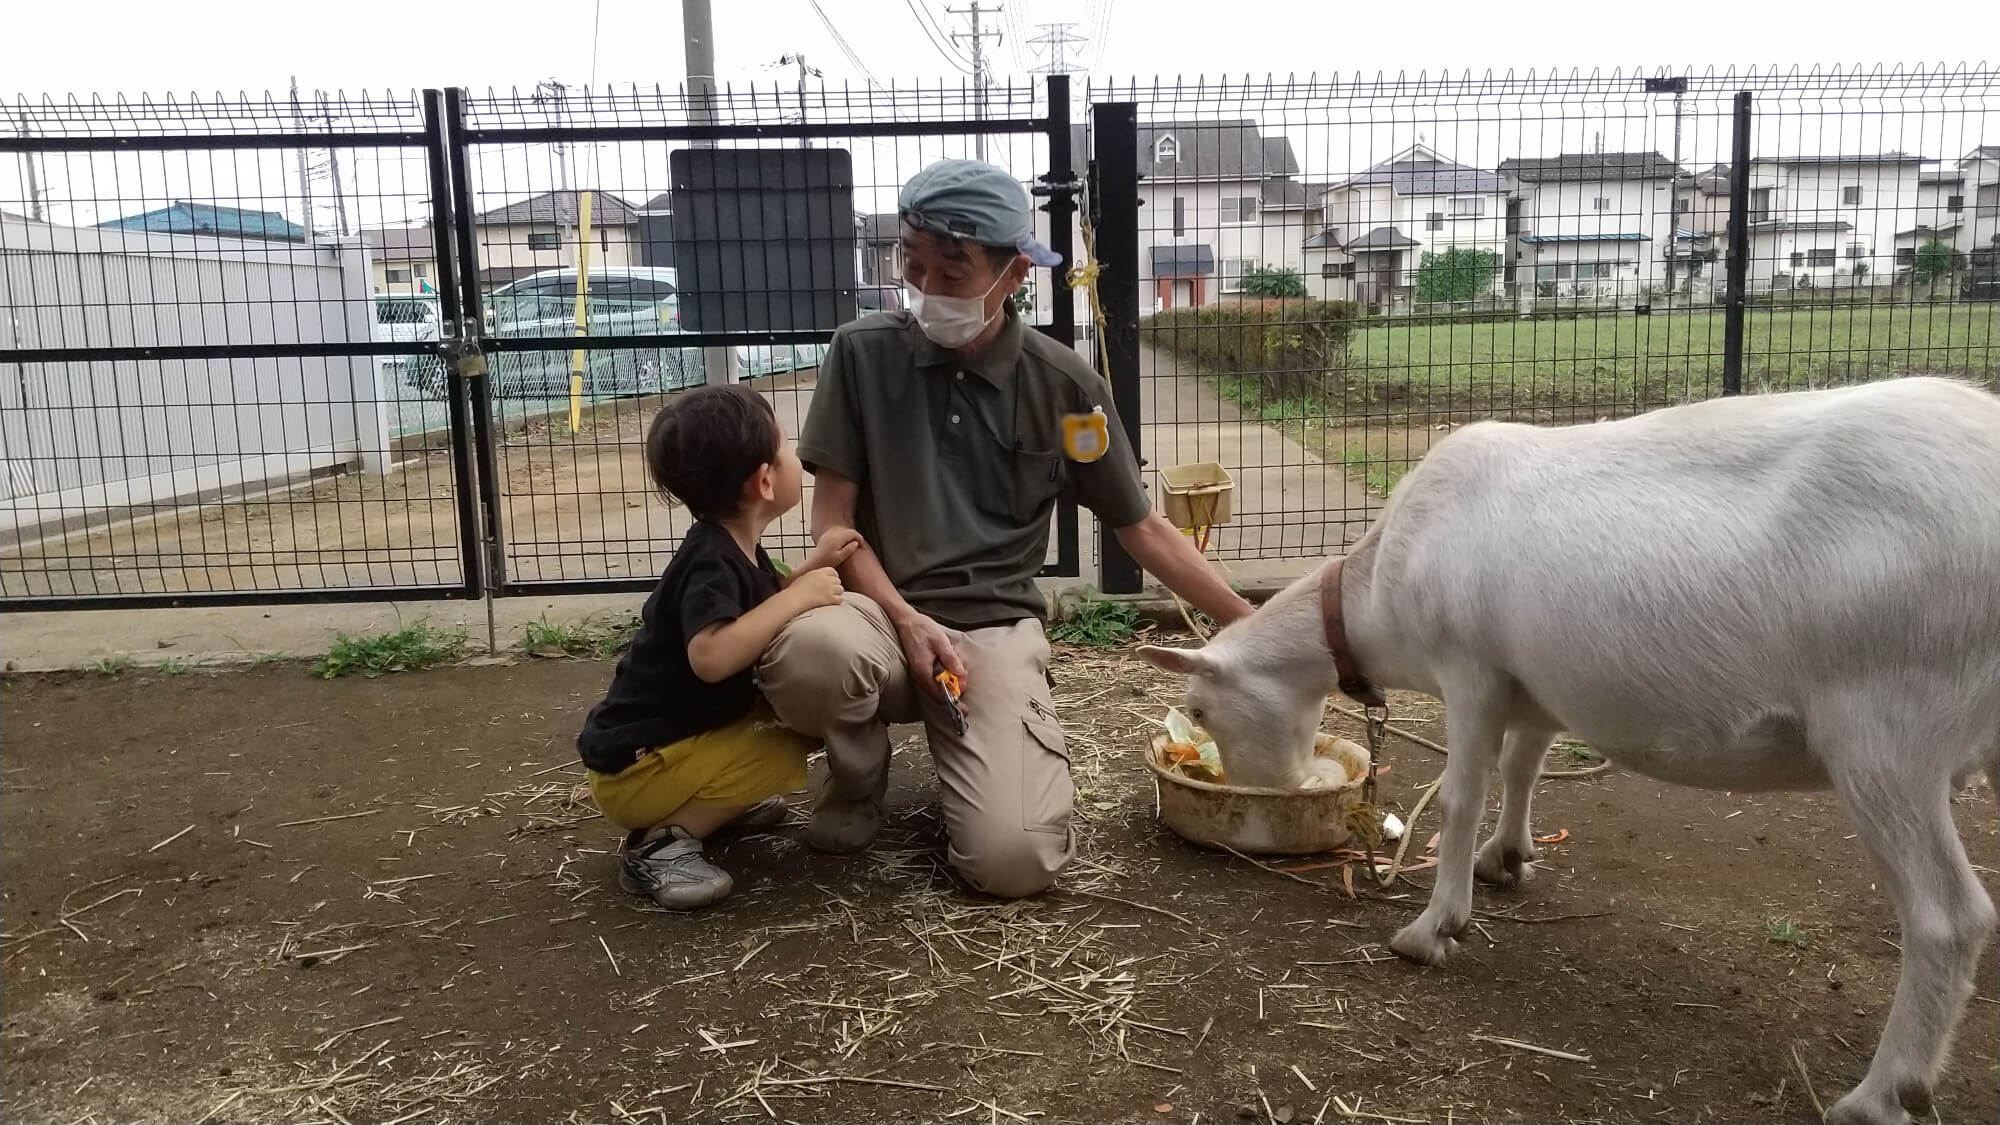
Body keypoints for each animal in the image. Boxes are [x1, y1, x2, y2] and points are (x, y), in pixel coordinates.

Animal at [1144, 376, 2000, 1120]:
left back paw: (1880, 1093)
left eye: (1198, 707)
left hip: (1886, 726)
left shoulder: (1469, 669)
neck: (1376, 589)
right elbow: (1522, 768)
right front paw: (1505, 858)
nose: (1272, 793)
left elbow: (1462, 794)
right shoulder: (1532, 684)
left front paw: (1435, 925)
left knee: (1947, 916)